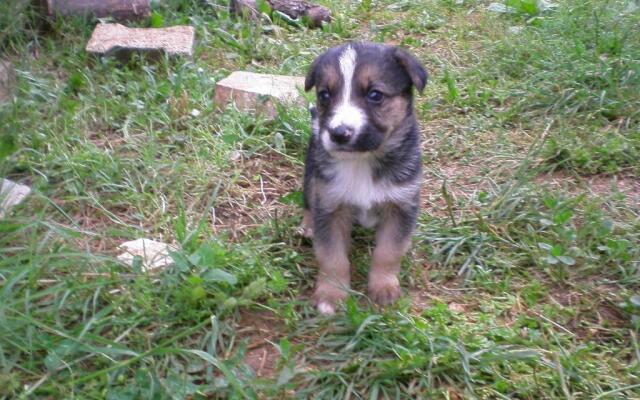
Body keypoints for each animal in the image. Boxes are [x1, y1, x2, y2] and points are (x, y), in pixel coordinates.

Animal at [302, 41, 428, 316]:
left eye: (375, 95)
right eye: (324, 95)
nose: (339, 134)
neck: (362, 161)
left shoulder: (401, 205)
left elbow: (389, 251)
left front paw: (384, 288)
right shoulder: (330, 205)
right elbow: (332, 256)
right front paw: (332, 295)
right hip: (310, 175)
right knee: (308, 201)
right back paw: (307, 225)